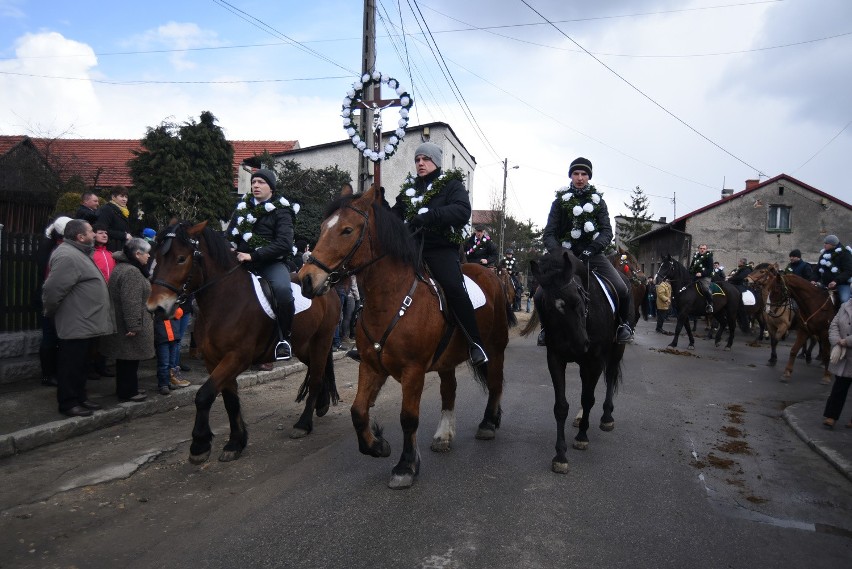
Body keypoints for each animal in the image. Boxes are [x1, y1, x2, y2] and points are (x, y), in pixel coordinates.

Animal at [148, 220, 342, 464]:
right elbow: (229, 401)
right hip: (304, 345)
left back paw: (303, 424)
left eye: (181, 258)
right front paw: (235, 443)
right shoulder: (214, 360)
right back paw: (322, 404)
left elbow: (204, 395)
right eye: (156, 256)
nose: (156, 308)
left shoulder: (237, 357)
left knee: (316, 376)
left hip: (321, 340)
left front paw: (200, 445)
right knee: (320, 369)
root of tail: (324, 286)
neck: (226, 300)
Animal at [300, 186, 512, 488]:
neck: (391, 299)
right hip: (446, 360)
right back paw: (444, 435)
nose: (306, 279)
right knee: (449, 391)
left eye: (347, 230)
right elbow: (358, 411)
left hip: (495, 348)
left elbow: (408, 418)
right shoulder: (371, 365)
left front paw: (406, 466)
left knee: (495, 384)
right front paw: (377, 445)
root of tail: (492, 275)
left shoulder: (413, 371)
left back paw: (488, 424)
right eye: (321, 228)